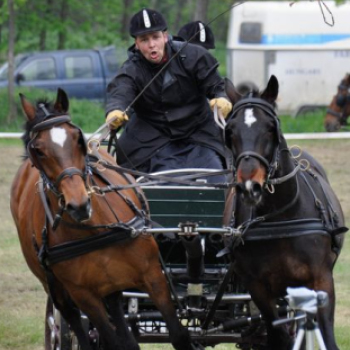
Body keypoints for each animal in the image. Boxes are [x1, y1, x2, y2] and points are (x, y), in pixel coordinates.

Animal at [10, 88, 197, 350]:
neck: (95, 230)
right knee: (73, 320)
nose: (78, 205)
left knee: (118, 311)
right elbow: (107, 337)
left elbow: (178, 334)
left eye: (78, 139)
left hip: (112, 283)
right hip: (57, 288)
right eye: (38, 150)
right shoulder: (84, 294)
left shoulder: (153, 275)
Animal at [223, 76, 346, 350]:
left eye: (271, 128)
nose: (249, 186)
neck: (280, 217)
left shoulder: (321, 280)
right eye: (230, 131)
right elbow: (279, 335)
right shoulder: (258, 288)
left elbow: (326, 336)